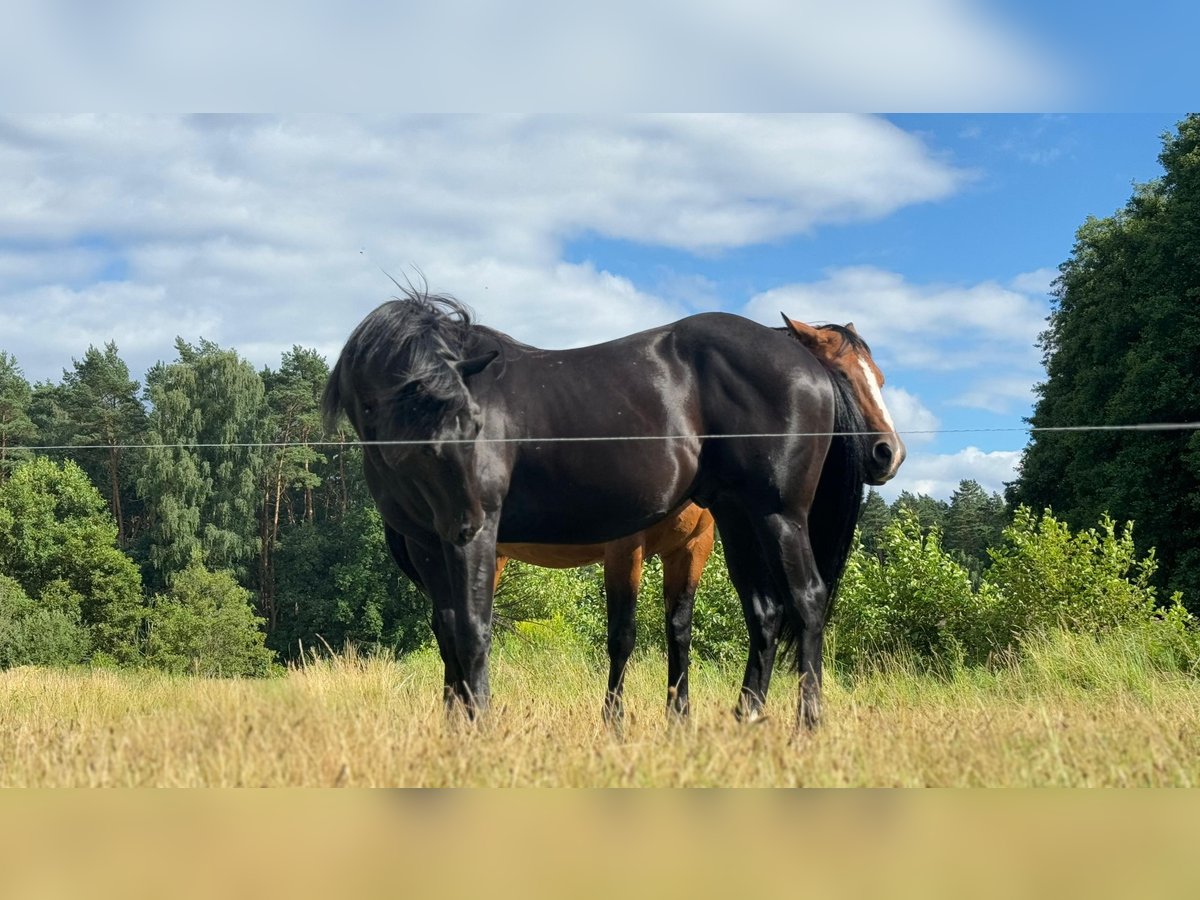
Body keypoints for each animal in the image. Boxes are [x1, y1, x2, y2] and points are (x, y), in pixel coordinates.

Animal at [324, 292, 902, 729]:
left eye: (474, 424)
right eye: (425, 436)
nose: (887, 454)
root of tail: (804, 367)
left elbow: (474, 628)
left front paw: (482, 724)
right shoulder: (429, 542)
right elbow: (449, 630)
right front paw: (455, 726)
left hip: (780, 515)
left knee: (808, 601)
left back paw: (807, 725)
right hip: (742, 519)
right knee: (765, 610)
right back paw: (745, 720)